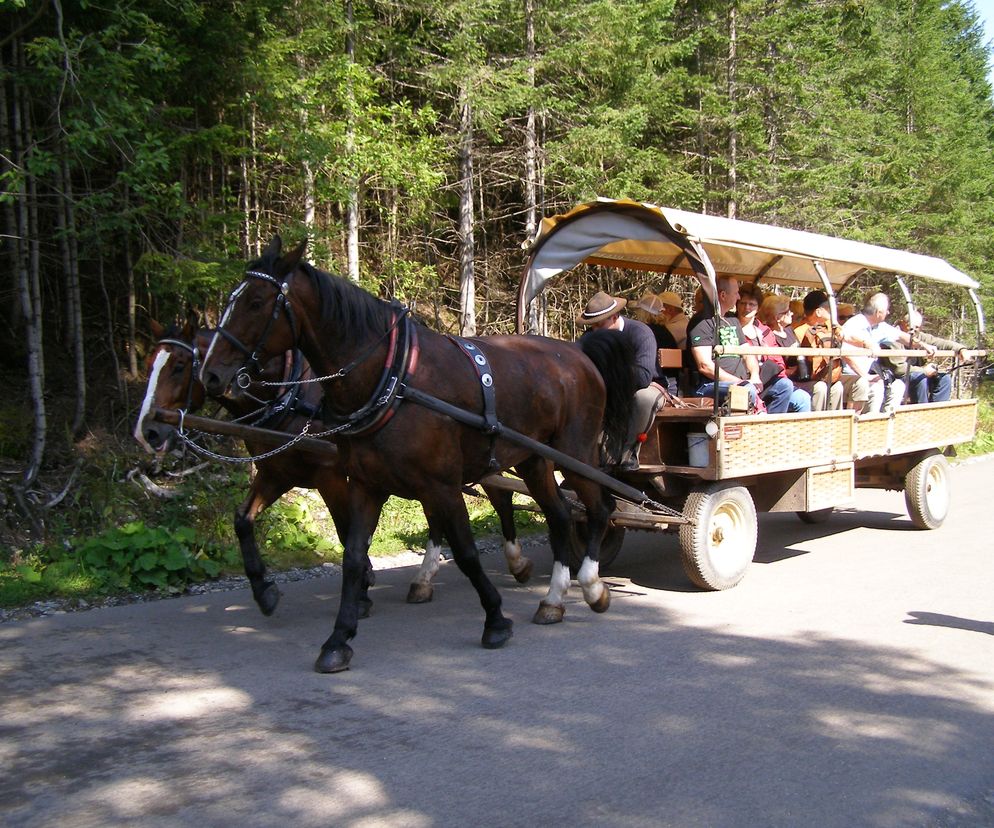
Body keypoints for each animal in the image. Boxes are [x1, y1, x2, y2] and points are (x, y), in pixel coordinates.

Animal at [138, 320, 536, 616]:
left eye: (178, 366)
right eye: (148, 365)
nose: (147, 431)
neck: (292, 394)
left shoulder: (330, 476)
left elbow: (347, 533)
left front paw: (361, 591)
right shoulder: (277, 473)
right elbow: (242, 520)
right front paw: (264, 590)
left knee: (499, 497)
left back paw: (516, 561)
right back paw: (427, 579)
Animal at [200, 234, 636, 672]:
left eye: (256, 302)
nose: (211, 375)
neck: (394, 378)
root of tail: (579, 355)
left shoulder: (440, 484)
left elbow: (466, 552)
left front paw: (495, 619)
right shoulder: (364, 484)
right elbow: (352, 555)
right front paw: (338, 639)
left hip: (575, 451)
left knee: (600, 509)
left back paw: (591, 585)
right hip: (533, 459)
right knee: (561, 515)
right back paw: (554, 600)